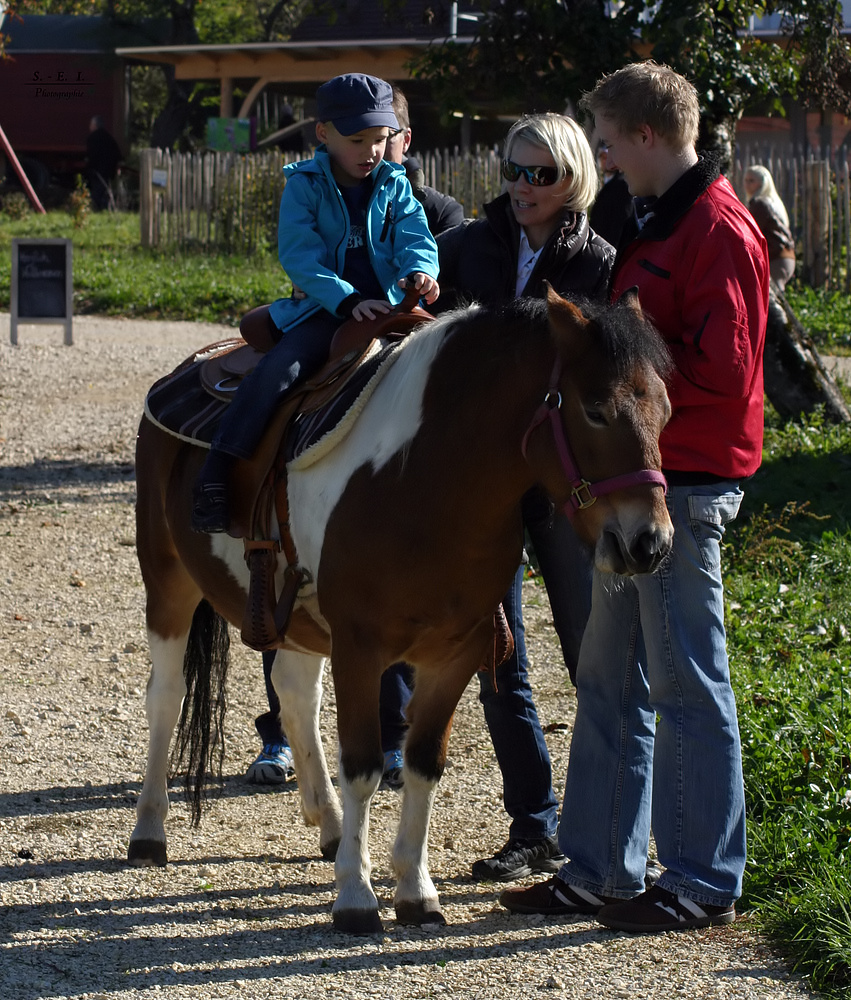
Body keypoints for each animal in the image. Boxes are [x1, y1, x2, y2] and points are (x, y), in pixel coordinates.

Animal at [128, 286, 672, 932]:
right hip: (168, 583)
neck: (425, 481)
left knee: (295, 695)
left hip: (297, 621)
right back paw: (150, 831)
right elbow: (364, 764)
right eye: (595, 410)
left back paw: (331, 826)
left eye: (665, 411)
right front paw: (357, 896)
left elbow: (422, 763)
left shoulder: (455, 653)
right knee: (166, 698)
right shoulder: (359, 648)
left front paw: (414, 889)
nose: (649, 543)